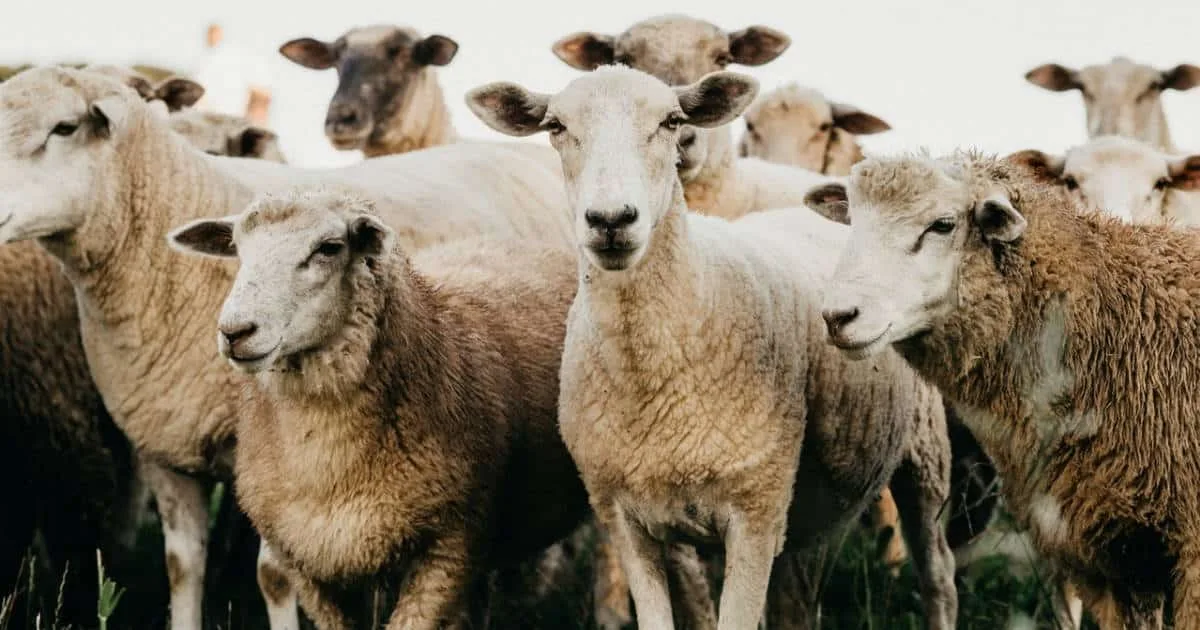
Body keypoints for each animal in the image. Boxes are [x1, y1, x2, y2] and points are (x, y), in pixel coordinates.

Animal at [166, 189, 591, 629]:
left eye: (329, 248)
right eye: (237, 247)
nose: (234, 331)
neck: (328, 464)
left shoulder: (448, 547)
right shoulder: (310, 565)